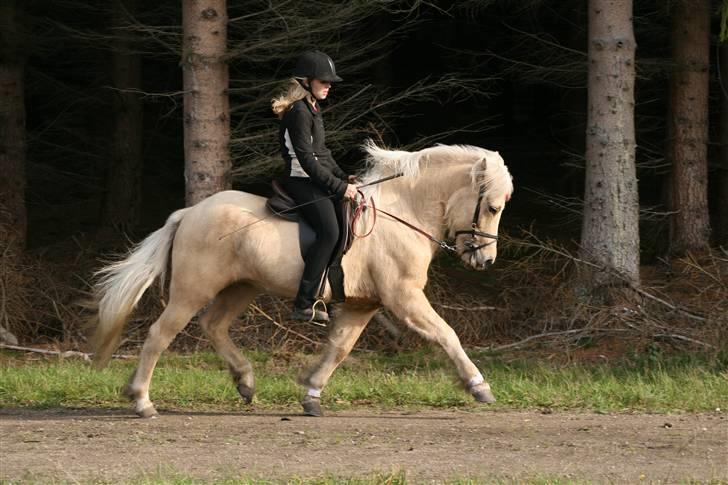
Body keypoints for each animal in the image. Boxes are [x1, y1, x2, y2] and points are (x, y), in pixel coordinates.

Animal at [88, 140, 516, 416]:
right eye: (493, 207)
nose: (486, 260)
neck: (403, 213)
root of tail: (189, 213)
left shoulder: (365, 305)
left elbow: (339, 349)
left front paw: (311, 391)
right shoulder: (403, 297)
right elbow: (447, 334)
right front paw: (479, 386)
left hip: (241, 288)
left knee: (214, 325)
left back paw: (245, 381)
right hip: (192, 290)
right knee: (161, 334)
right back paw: (142, 400)